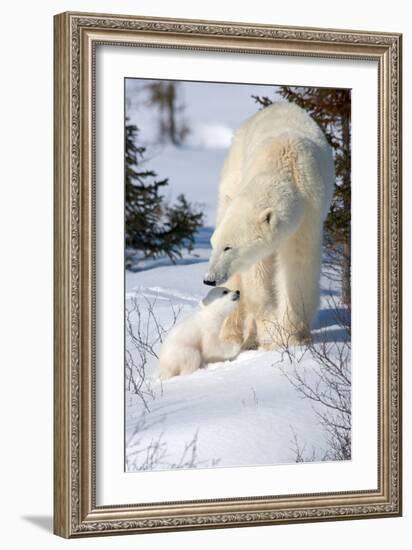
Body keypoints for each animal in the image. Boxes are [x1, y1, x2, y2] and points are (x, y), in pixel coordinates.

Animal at [203, 103, 334, 350]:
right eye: (213, 244)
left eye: (228, 247)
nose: (209, 278)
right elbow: (257, 275)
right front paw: (270, 328)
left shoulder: (308, 214)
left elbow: (297, 267)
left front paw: (291, 336)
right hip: (233, 171)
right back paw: (232, 335)